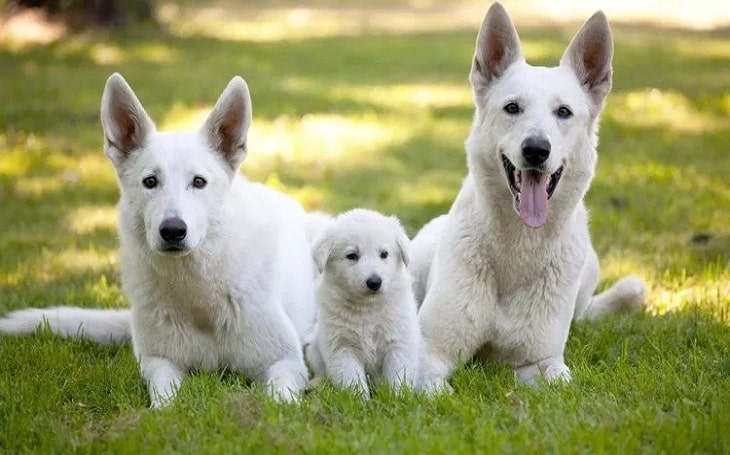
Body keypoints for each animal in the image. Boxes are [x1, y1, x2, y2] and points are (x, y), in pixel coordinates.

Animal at [0, 73, 316, 408]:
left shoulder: (286, 362)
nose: (173, 230)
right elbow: (165, 400)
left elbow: (280, 400)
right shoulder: (158, 363)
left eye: (199, 182)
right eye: (150, 182)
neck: (197, 294)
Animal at [304, 208, 418, 398]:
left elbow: (398, 375)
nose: (374, 282)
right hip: (315, 347)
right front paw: (360, 401)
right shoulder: (341, 347)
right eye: (352, 256)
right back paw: (316, 384)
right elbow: (352, 380)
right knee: (321, 371)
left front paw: (399, 398)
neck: (367, 307)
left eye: (384, 254)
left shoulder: (398, 342)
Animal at [412, 2, 644, 396]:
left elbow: (561, 382)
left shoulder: (542, 363)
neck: (518, 247)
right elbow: (434, 388)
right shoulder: (426, 354)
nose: (536, 150)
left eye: (563, 112)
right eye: (512, 108)